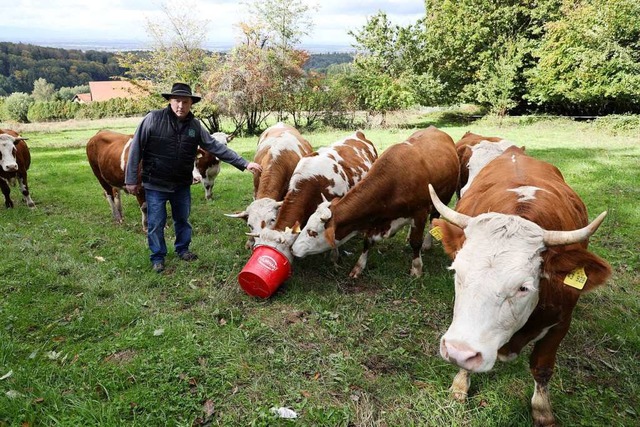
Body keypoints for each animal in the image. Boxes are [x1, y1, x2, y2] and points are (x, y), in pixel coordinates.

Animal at [86, 130, 229, 231]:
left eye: (194, 160)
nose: (196, 178)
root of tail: (99, 133)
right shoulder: (139, 188)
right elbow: (145, 207)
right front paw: (146, 226)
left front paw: (163, 225)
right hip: (99, 175)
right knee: (108, 194)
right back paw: (117, 218)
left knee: (116, 193)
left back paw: (121, 215)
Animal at [290, 125, 460, 280]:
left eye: (312, 232)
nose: (293, 249)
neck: (395, 182)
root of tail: (434, 129)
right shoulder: (374, 218)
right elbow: (367, 241)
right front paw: (358, 267)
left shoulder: (420, 212)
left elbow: (415, 242)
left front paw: (417, 268)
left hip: (442, 198)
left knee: (434, 219)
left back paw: (427, 243)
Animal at [428, 145, 612, 426]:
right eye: (457, 272)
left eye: (523, 288)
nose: (459, 352)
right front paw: (460, 383)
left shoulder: (561, 323)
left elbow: (542, 367)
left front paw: (542, 410)